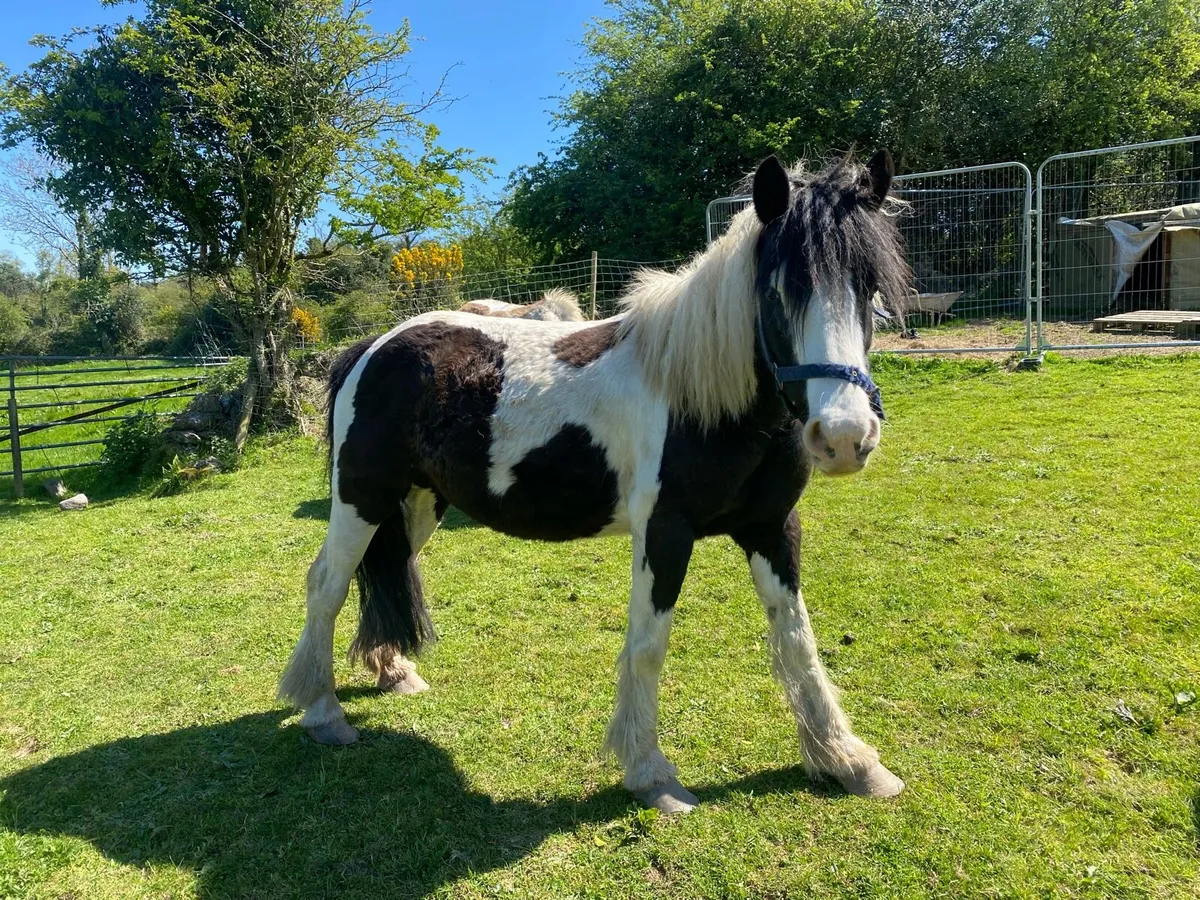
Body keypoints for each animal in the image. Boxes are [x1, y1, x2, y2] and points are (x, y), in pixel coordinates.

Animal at [278, 151, 913, 814]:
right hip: (362, 497)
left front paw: (849, 761)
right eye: (778, 288)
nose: (844, 435)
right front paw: (652, 773)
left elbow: (797, 641)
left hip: (419, 502)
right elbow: (648, 645)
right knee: (326, 583)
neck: (703, 399)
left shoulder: (771, 528)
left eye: (868, 286)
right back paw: (323, 712)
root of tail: (371, 347)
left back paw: (392, 671)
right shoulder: (664, 534)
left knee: (384, 568)